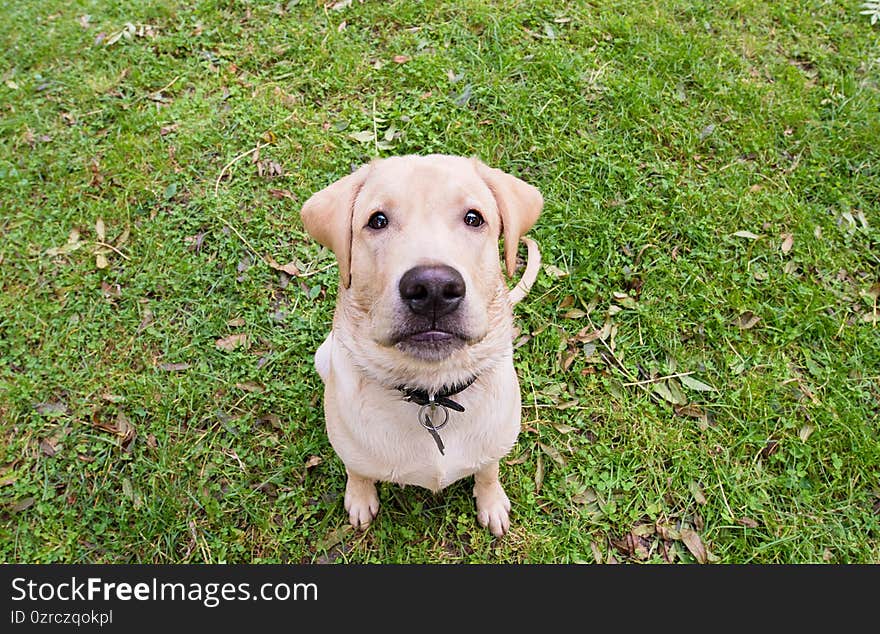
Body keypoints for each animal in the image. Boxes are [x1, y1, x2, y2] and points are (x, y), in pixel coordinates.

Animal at [300, 153, 540, 532]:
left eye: (474, 218)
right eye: (377, 220)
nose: (434, 289)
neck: (431, 393)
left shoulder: (495, 444)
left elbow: (488, 470)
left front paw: (491, 502)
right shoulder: (349, 448)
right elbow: (357, 472)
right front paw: (360, 498)